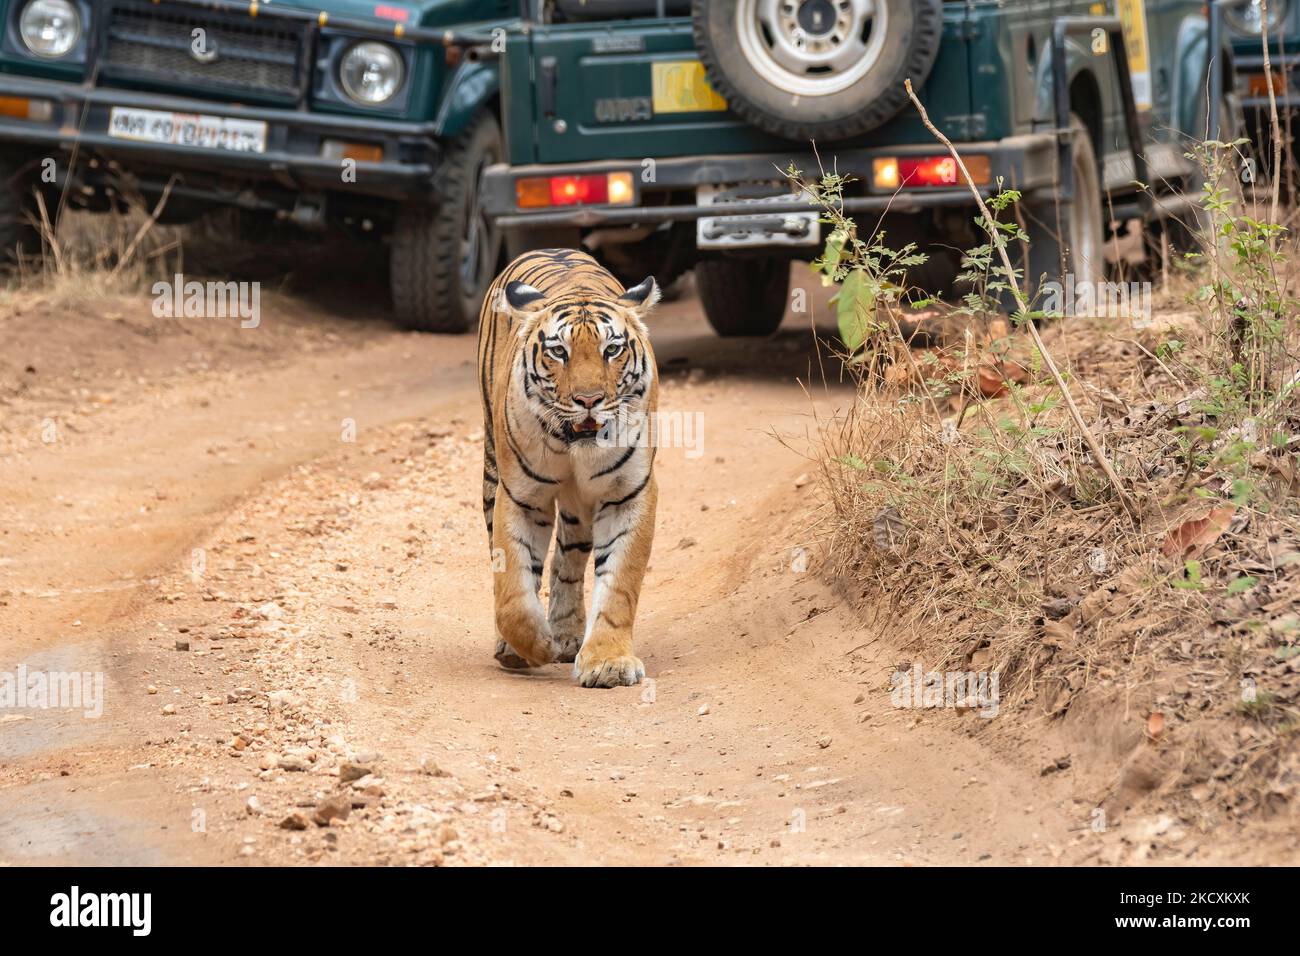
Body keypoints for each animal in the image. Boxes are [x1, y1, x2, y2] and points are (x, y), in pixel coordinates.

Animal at [478, 248, 660, 686]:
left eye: (612, 350)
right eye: (558, 351)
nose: (589, 400)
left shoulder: (629, 494)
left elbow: (619, 585)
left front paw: (608, 662)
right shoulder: (521, 497)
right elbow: (512, 587)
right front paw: (529, 647)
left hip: (580, 509)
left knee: (568, 558)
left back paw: (565, 632)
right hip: (492, 471)